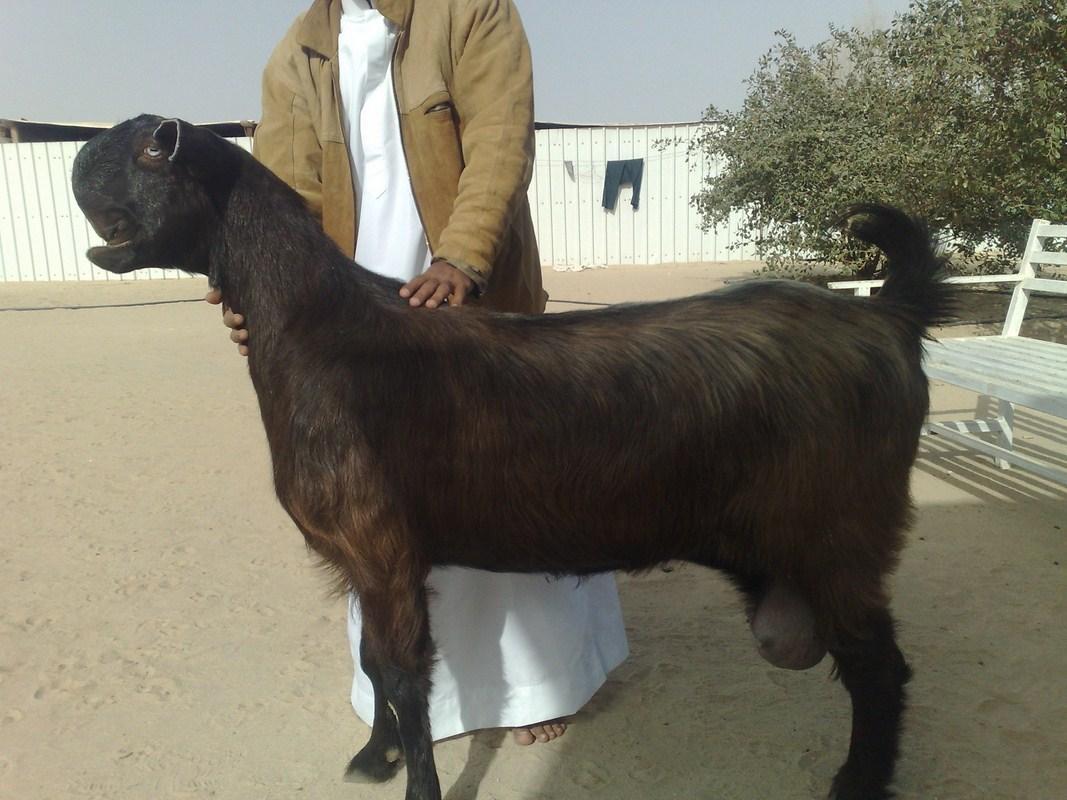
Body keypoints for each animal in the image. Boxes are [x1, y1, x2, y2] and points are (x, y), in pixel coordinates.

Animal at [75, 114, 956, 800]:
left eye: (147, 149)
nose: (80, 159)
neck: (320, 330)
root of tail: (887, 317)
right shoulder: (362, 558)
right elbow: (373, 664)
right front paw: (373, 755)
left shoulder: (382, 548)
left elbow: (404, 678)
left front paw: (415, 783)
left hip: (838, 539)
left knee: (881, 671)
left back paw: (858, 783)